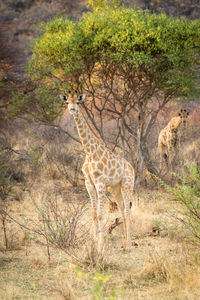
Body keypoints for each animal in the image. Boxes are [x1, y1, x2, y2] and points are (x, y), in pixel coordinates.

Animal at [59, 90, 134, 252]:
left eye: (78, 102)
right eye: (67, 102)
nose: (72, 109)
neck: (90, 152)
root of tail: (132, 168)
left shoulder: (100, 183)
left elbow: (100, 214)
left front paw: (101, 247)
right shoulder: (89, 183)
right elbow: (93, 214)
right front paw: (94, 243)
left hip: (127, 184)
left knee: (127, 210)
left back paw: (129, 245)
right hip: (114, 188)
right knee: (122, 208)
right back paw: (125, 243)